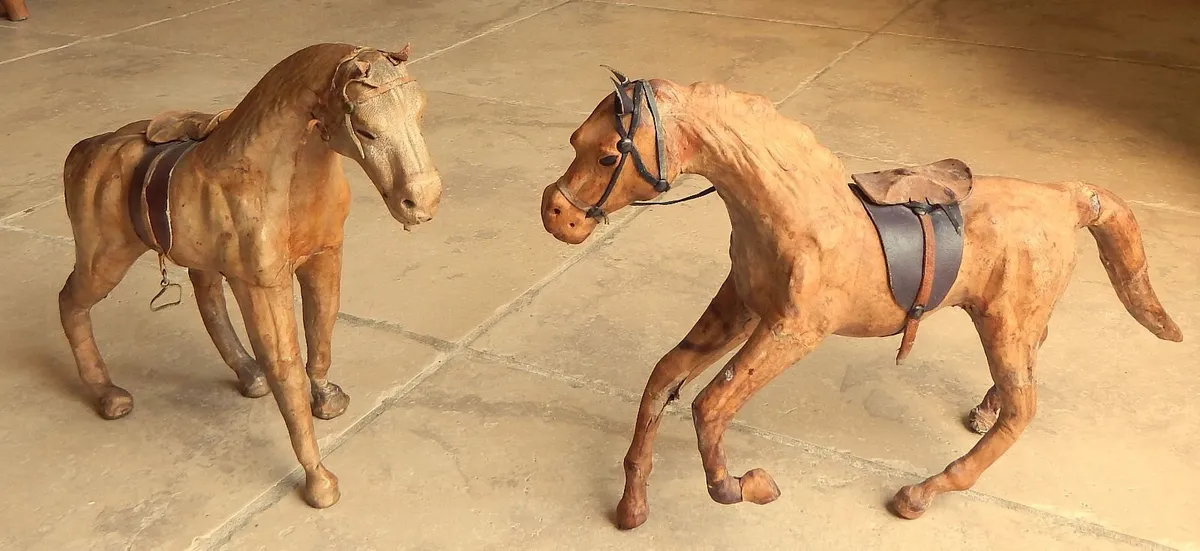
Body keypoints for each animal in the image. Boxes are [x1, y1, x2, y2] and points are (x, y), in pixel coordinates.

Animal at [58, 42, 442, 508]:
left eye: (420, 112)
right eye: (366, 131)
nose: (422, 202)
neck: (272, 177)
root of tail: (83, 152)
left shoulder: (324, 258)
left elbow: (321, 334)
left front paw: (328, 400)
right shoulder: (264, 287)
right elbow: (286, 370)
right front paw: (319, 480)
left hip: (194, 260)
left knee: (208, 303)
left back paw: (247, 374)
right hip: (105, 259)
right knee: (71, 303)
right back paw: (108, 395)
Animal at [539, 71, 1182, 529]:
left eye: (607, 155)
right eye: (574, 141)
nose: (556, 216)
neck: (793, 208)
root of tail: (1069, 198)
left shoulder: (791, 331)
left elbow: (709, 406)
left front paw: (747, 486)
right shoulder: (738, 307)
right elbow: (664, 379)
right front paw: (632, 506)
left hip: (1004, 324)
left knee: (1024, 411)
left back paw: (921, 494)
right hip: (1014, 319)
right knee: (1027, 369)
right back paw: (983, 409)